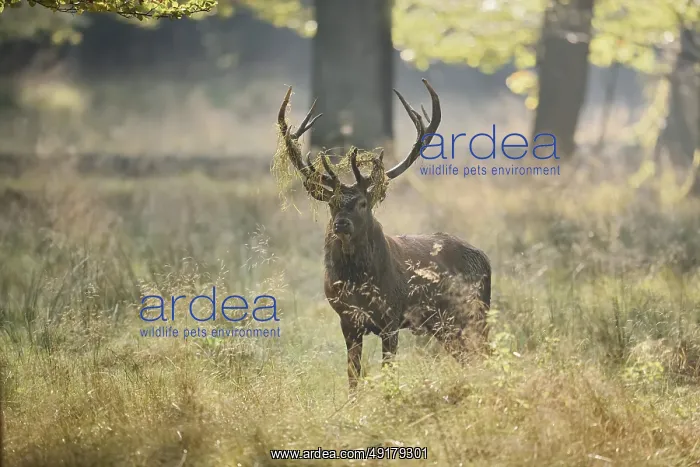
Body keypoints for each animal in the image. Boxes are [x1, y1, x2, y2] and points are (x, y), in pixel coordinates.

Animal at [277, 79, 492, 391]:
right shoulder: (347, 320)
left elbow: (389, 370)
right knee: (468, 355)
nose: (341, 224)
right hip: (445, 323)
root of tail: (485, 259)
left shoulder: (391, 317)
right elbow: (353, 374)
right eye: (332, 203)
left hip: (474, 310)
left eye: (363, 203)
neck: (358, 284)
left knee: (484, 351)